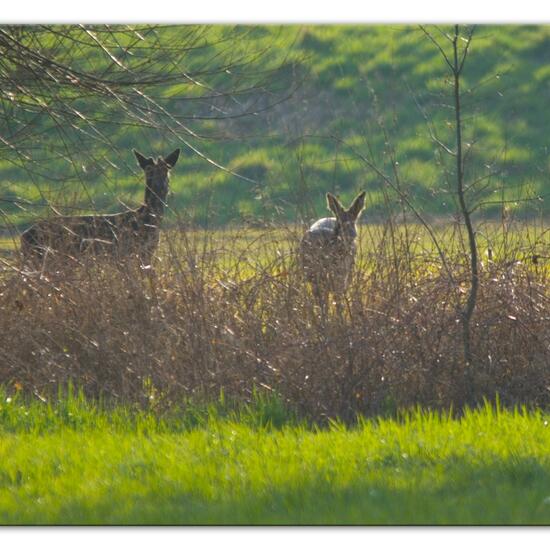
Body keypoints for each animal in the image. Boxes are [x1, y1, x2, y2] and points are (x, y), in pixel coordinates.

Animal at [21, 148, 181, 270]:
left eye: (166, 170)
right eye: (149, 171)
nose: (159, 187)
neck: (147, 221)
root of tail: (24, 235)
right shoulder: (130, 254)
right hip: (44, 258)